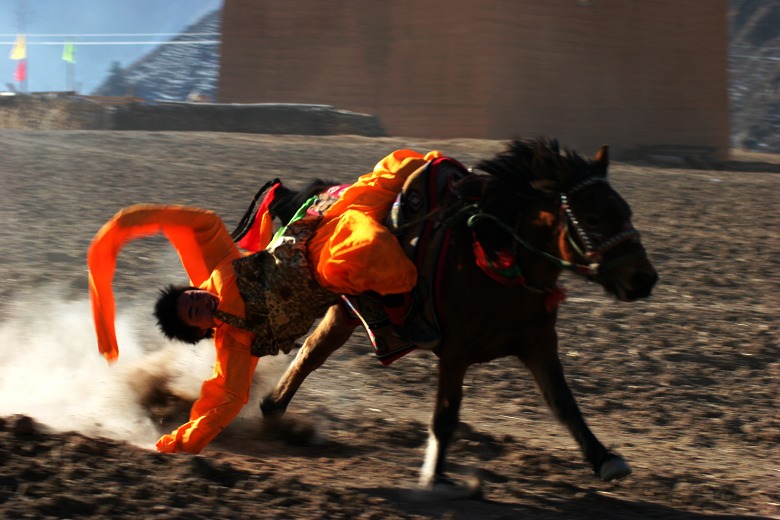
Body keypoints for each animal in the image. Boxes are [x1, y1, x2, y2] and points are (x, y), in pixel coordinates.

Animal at [253, 137, 656, 488]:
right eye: (592, 218)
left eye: (626, 212)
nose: (643, 279)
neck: (497, 265)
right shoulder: (455, 352)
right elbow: (446, 414)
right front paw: (436, 478)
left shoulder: (539, 345)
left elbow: (565, 404)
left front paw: (605, 460)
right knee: (309, 353)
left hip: (345, 314)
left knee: (312, 352)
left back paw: (273, 409)